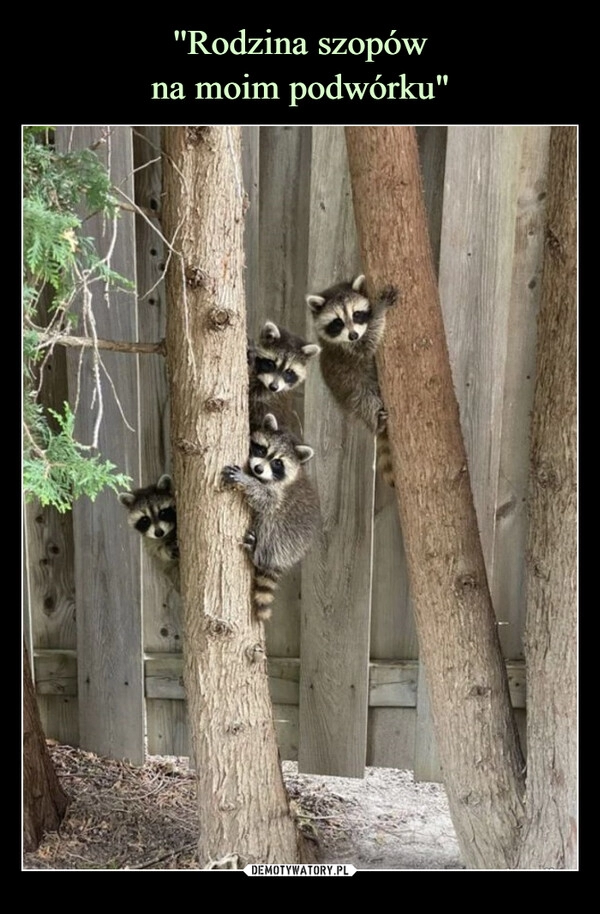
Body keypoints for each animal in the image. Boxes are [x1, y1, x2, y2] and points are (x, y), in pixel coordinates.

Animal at [223, 414, 322, 620]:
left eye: (277, 463)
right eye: (262, 449)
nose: (258, 469)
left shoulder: (279, 495)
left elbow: (266, 500)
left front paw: (247, 481)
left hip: (284, 537)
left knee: (268, 524)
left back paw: (256, 553)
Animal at [308, 270, 396, 484]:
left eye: (356, 314)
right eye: (337, 322)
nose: (353, 335)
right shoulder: (350, 350)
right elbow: (368, 340)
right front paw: (380, 311)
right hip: (353, 394)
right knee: (365, 401)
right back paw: (377, 423)